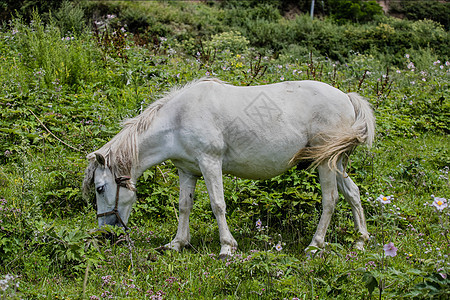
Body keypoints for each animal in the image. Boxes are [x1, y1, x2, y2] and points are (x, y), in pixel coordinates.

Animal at [82, 77, 374, 258]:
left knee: (330, 200)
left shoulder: (210, 162)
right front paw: (177, 243)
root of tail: (347, 98)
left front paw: (226, 247)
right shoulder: (187, 170)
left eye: (100, 188)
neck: (178, 119)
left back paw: (315, 246)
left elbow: (218, 204)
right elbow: (184, 206)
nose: (105, 233)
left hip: (325, 163)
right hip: (336, 162)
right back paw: (360, 241)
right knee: (353, 193)